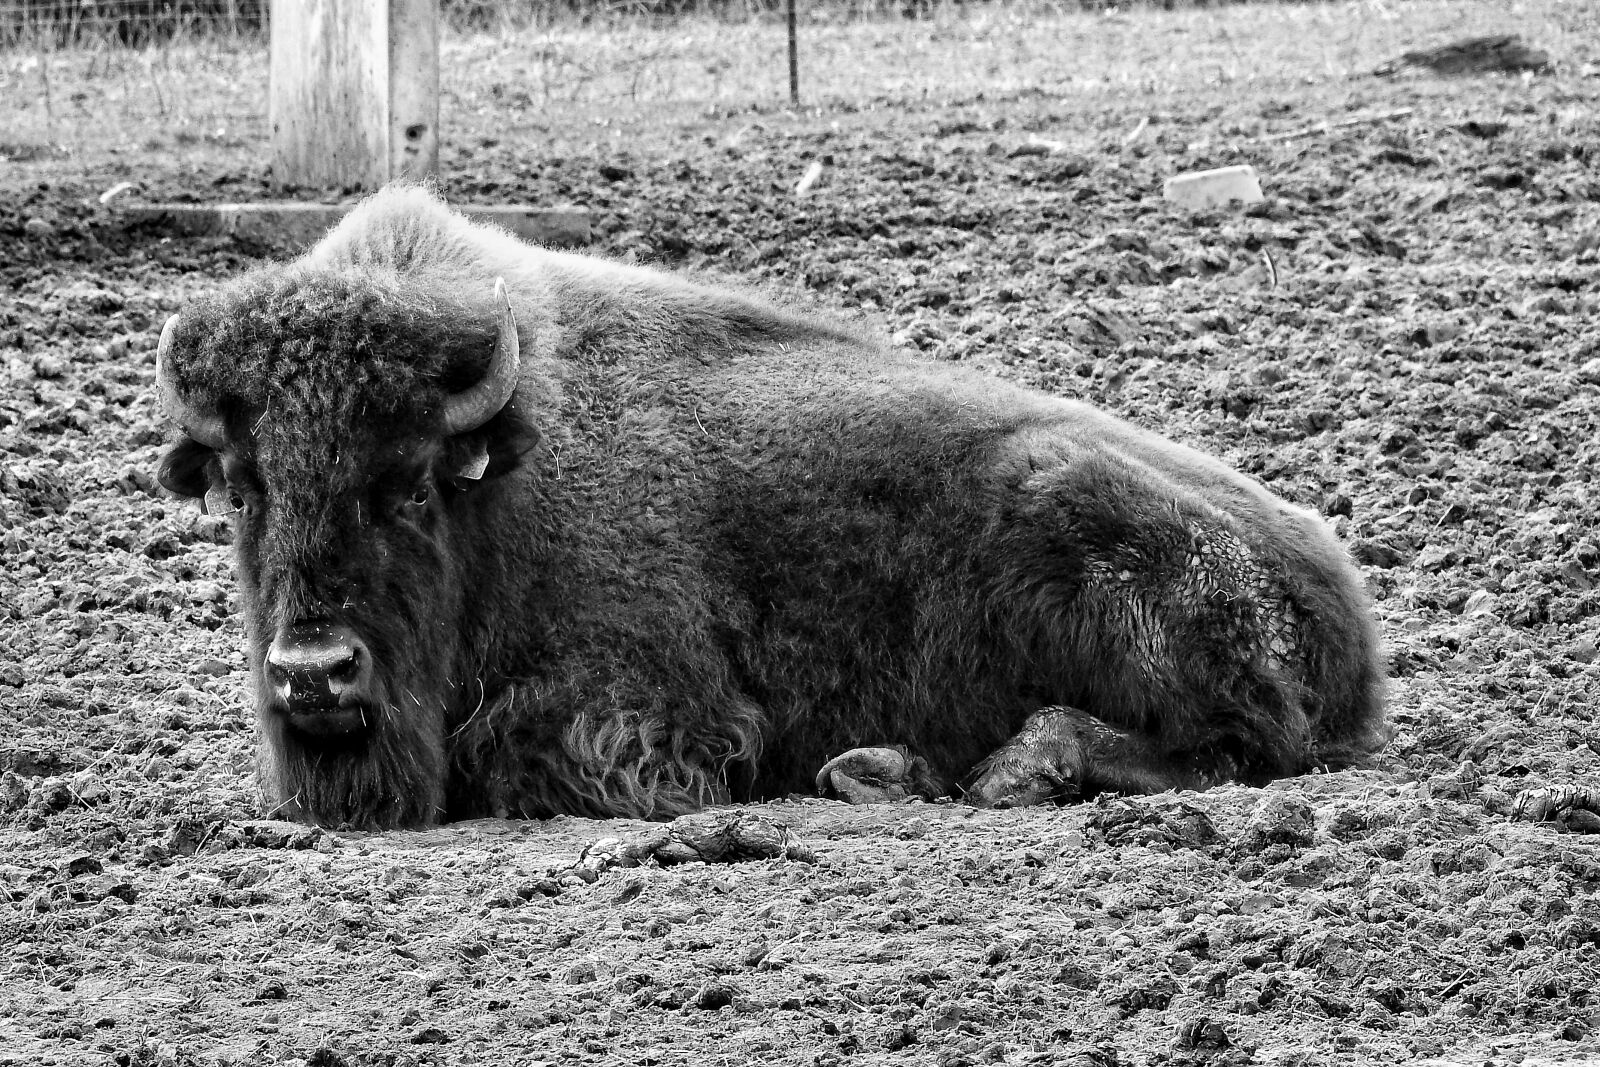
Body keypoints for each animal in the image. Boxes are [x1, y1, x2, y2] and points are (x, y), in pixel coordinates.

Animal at [153, 185, 1386, 829]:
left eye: (407, 481)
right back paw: (882, 769)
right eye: (243, 487)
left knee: (1236, 744)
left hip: (1087, 526)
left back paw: (1001, 769)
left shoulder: (654, 718)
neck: (502, 475)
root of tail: (1336, 590)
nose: (313, 673)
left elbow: (513, 744)